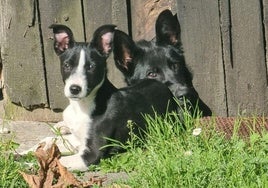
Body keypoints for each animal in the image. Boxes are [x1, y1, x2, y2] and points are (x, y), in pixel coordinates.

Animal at [49, 23, 178, 170]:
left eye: (91, 67)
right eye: (67, 65)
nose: (75, 89)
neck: (82, 106)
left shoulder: (91, 155)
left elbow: (57, 161)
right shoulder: (77, 139)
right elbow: (51, 143)